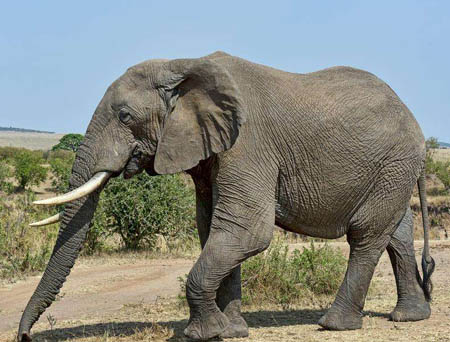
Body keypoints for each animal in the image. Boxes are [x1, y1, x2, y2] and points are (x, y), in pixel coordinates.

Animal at [18, 51, 436, 342]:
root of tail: (412, 116)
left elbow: (246, 231)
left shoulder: (248, 145)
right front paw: (232, 330)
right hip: (392, 170)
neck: (181, 65)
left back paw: (335, 325)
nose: (24, 336)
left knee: (366, 234)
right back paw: (409, 317)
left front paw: (203, 333)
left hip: (394, 163)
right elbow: (214, 229)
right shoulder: (210, 152)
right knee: (396, 234)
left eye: (124, 116)